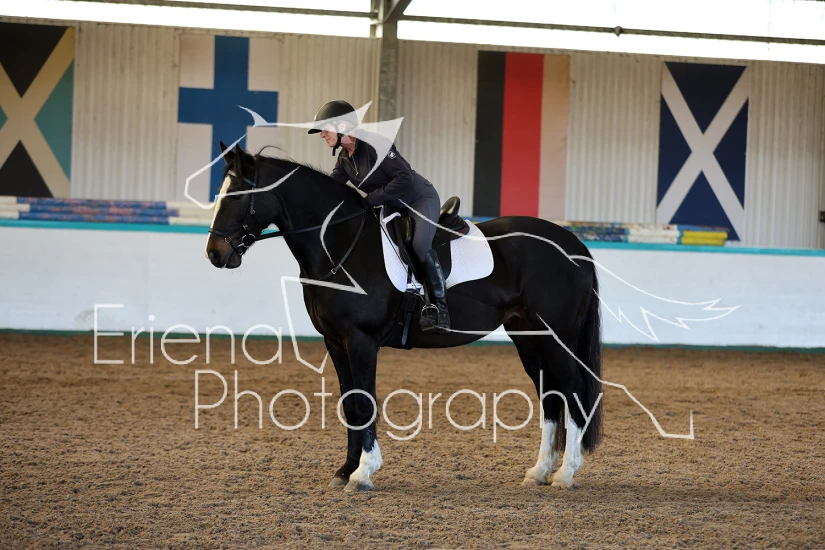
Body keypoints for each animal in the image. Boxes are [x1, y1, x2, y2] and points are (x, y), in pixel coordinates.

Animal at [205, 143, 603, 492]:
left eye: (235, 196)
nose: (214, 253)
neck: (341, 243)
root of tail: (574, 244)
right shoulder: (335, 343)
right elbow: (350, 404)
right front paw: (345, 470)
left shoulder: (361, 341)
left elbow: (365, 402)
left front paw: (363, 473)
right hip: (530, 339)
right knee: (551, 396)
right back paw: (540, 472)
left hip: (557, 339)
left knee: (573, 393)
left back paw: (566, 474)